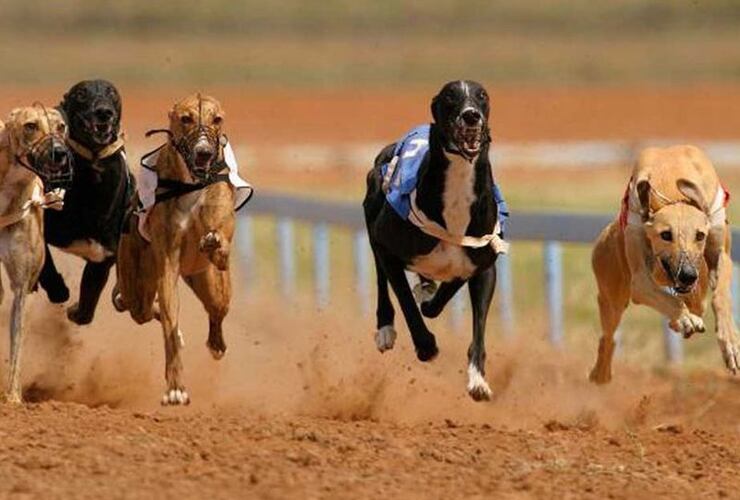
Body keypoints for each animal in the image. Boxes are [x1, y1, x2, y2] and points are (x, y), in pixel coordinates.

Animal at [38, 79, 132, 324]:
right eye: (81, 93)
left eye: (112, 93)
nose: (104, 112)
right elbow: (46, 265)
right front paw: (59, 290)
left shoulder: (103, 257)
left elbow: (87, 306)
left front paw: (76, 311)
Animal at [115, 94, 234, 406]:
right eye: (186, 118)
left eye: (217, 119)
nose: (204, 153)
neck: (191, 183)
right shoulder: (167, 264)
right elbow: (168, 326)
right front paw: (175, 387)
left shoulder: (219, 246)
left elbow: (220, 249)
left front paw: (214, 243)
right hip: (138, 288)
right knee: (145, 310)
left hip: (211, 284)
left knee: (217, 311)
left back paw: (216, 344)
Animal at [364, 82, 508, 402]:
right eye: (450, 97)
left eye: (482, 95)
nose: (471, 115)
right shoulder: (387, 244)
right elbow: (406, 302)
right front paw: (426, 346)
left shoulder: (482, 265)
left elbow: (471, 321)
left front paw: (478, 380)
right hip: (372, 214)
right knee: (381, 279)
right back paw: (385, 329)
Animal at [588, 145, 740, 382]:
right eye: (665, 235)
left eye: (700, 235)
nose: (688, 275)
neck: (673, 188)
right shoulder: (640, 280)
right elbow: (666, 298)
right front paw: (683, 319)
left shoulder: (719, 254)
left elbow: (721, 296)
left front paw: (731, 343)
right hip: (612, 298)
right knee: (608, 336)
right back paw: (600, 373)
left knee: (697, 302)